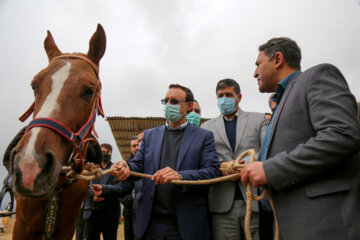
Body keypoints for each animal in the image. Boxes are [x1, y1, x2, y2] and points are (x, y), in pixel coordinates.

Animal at [9, 23, 106, 238]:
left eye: (90, 91)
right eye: (34, 86)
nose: (30, 165)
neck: (58, 186)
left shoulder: (66, 228)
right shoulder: (21, 226)